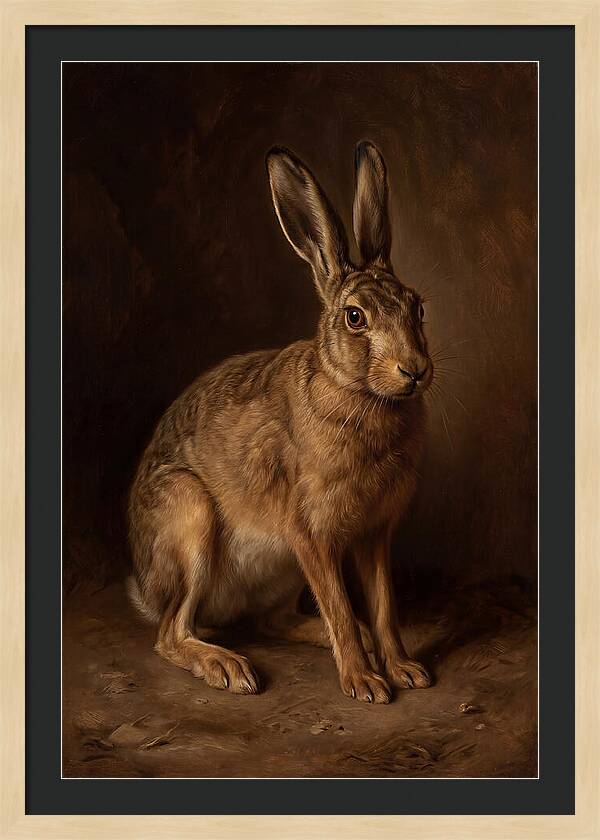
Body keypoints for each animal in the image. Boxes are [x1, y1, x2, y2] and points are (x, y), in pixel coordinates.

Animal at [127, 141, 433, 703]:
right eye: (355, 317)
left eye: (417, 307)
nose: (415, 370)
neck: (360, 393)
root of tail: (145, 585)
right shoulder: (309, 533)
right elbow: (339, 605)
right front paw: (365, 684)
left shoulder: (374, 535)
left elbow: (383, 607)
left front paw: (403, 669)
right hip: (189, 516)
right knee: (171, 633)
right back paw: (228, 667)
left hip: (281, 572)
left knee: (273, 622)